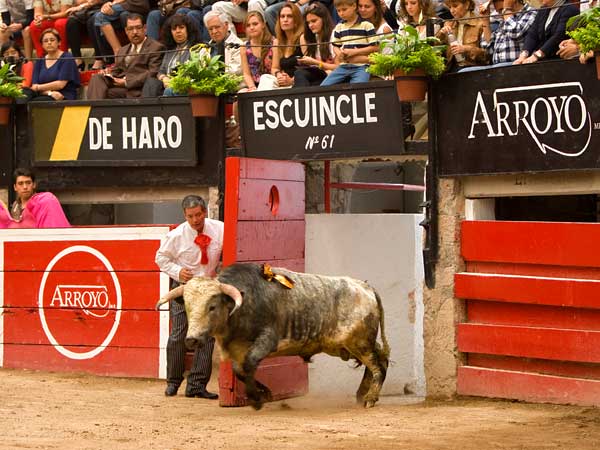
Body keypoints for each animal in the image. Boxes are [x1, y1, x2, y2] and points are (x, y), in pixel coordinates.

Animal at [156, 262, 390, 410]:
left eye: (212, 306)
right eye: (187, 307)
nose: (192, 340)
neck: (242, 305)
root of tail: (365, 286)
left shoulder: (267, 340)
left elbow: (249, 364)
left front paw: (257, 399)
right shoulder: (237, 349)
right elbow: (240, 370)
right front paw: (264, 394)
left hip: (359, 343)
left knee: (378, 365)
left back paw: (370, 398)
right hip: (348, 346)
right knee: (381, 359)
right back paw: (362, 394)